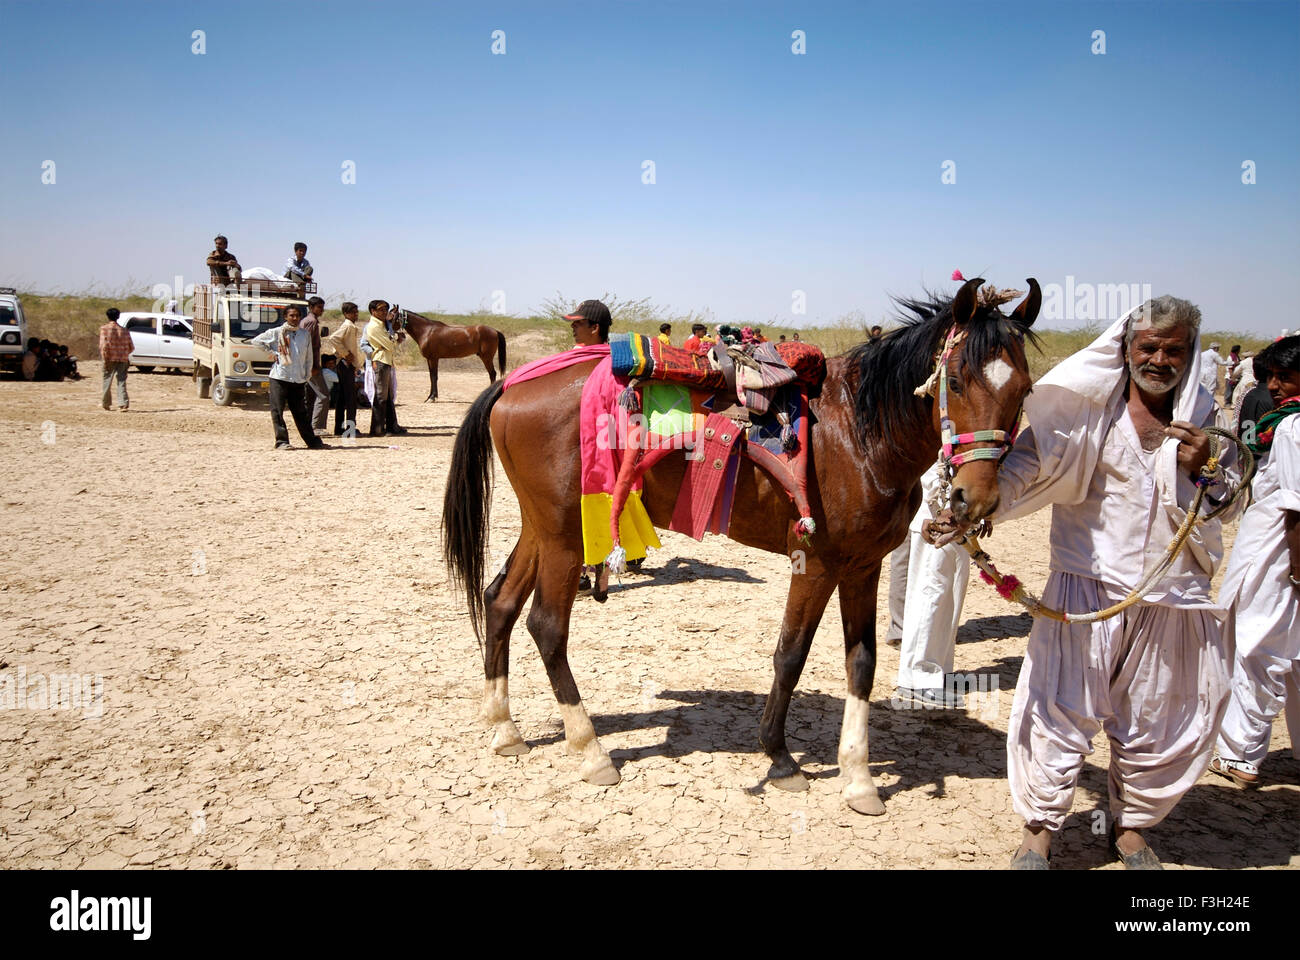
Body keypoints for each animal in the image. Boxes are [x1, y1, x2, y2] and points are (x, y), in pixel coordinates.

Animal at [442, 277, 1039, 815]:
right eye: (956, 380)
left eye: (1025, 391)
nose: (974, 498)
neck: (858, 433)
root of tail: (513, 385)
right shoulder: (814, 563)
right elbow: (791, 654)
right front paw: (779, 757)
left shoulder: (863, 565)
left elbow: (862, 662)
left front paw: (859, 777)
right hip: (568, 536)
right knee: (546, 625)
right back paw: (591, 751)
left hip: (544, 528)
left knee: (500, 601)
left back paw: (505, 729)